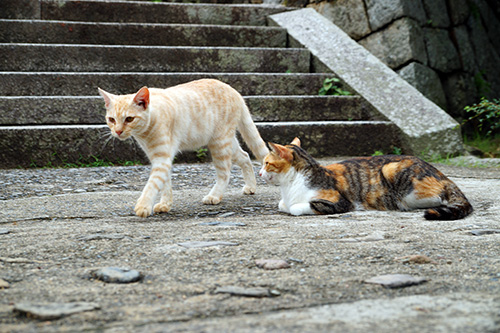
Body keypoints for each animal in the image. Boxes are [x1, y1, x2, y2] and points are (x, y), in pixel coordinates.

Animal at [98, 79, 270, 217]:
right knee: (245, 156)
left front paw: (143, 206)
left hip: (219, 144)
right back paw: (251, 186)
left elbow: (153, 183)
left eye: (129, 119)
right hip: (227, 143)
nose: (118, 131)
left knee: (225, 173)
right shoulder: (159, 157)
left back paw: (214, 196)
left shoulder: (162, 158)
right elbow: (164, 182)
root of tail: (234, 91)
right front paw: (165, 204)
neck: (145, 132)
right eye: (111, 119)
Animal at [260, 136, 474, 219]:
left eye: (267, 163)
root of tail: (444, 176)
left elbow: (295, 207)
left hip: (392, 170)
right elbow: (282, 204)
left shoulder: (339, 202)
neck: (289, 186)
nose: (260, 173)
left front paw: (294, 206)